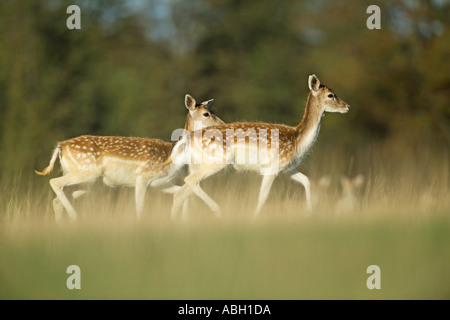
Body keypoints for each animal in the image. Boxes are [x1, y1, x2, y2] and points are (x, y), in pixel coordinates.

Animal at [35, 94, 225, 221]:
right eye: (206, 114)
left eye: (212, 110)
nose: (223, 124)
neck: (171, 156)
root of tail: (60, 147)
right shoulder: (142, 177)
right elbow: (139, 208)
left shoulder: (162, 183)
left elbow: (182, 195)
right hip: (85, 172)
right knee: (54, 182)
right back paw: (74, 216)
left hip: (87, 181)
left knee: (56, 200)